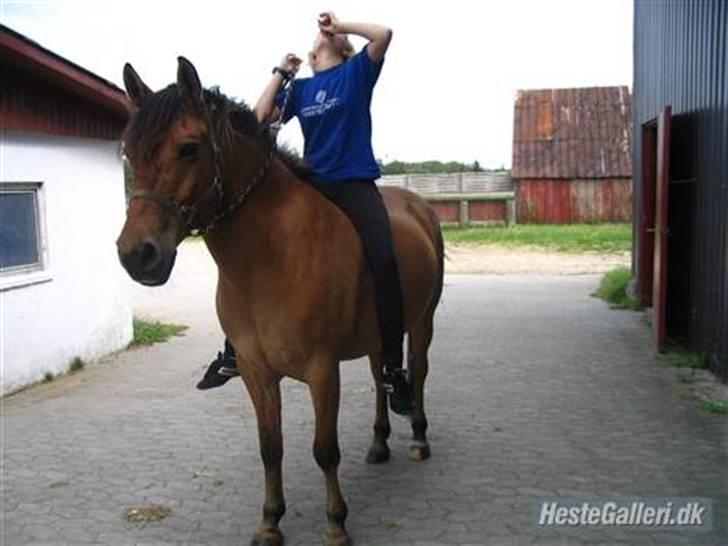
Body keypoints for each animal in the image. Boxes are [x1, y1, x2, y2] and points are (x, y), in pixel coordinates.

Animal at [118, 56, 444, 544]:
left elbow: (325, 450)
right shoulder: (257, 371)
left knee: (418, 373)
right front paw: (270, 522)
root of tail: (419, 207)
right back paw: (379, 442)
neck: (271, 259)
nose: (136, 254)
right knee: (378, 375)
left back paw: (418, 438)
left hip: (422, 322)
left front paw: (336, 525)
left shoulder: (322, 370)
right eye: (129, 152)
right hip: (376, 337)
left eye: (189, 148)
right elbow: (270, 448)